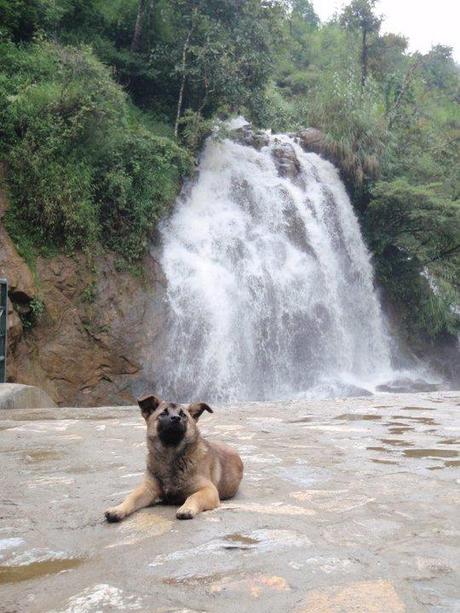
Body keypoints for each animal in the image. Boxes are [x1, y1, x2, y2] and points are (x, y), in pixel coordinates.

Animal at [104, 394, 244, 520]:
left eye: (183, 415)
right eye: (163, 413)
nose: (176, 418)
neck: (170, 455)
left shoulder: (209, 490)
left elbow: (193, 496)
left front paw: (186, 508)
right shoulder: (147, 489)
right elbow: (131, 497)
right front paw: (118, 509)